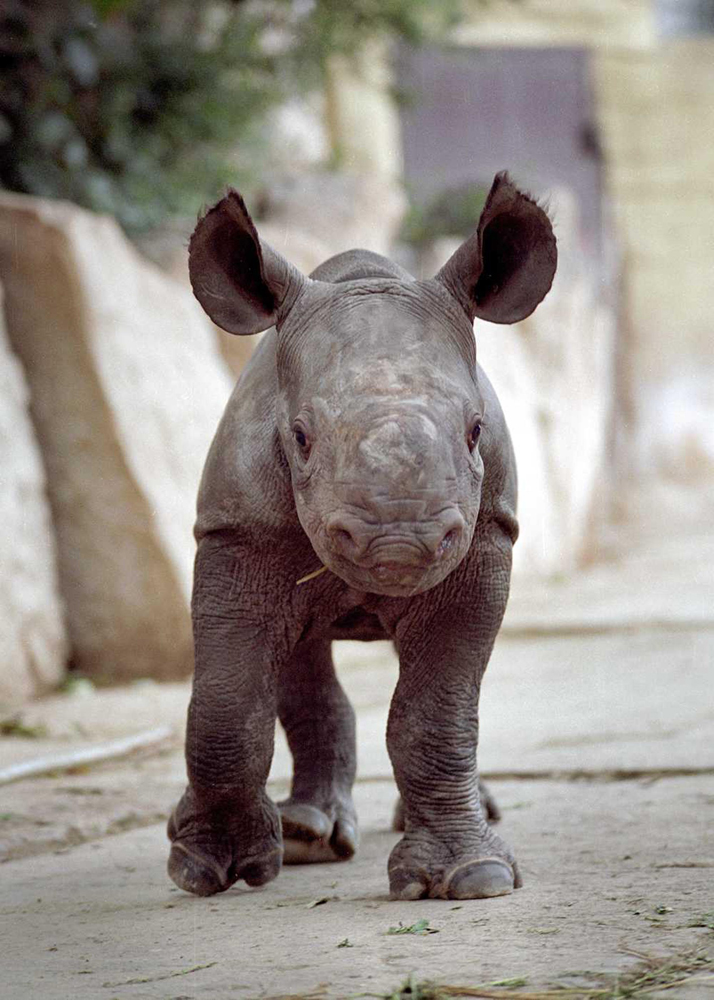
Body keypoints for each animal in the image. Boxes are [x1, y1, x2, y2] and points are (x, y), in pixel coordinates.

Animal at [168, 176, 556, 904]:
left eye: (475, 430)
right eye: (299, 436)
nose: (399, 544)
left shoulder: (484, 539)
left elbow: (436, 711)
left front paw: (473, 879)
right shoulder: (238, 532)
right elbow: (227, 702)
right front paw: (205, 869)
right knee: (300, 661)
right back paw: (307, 837)